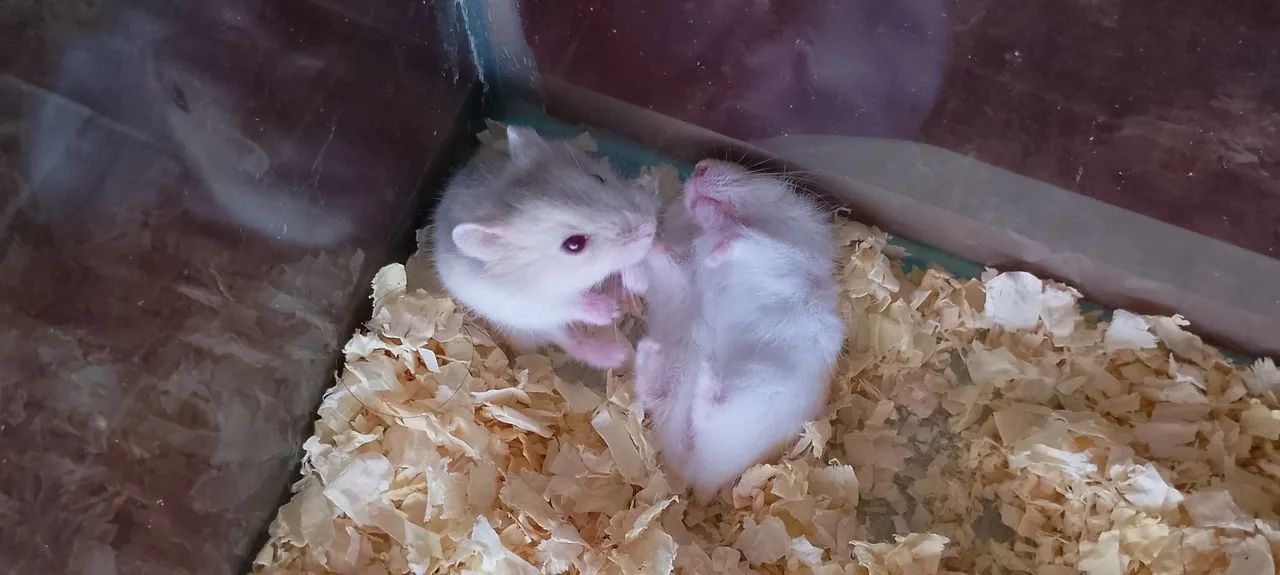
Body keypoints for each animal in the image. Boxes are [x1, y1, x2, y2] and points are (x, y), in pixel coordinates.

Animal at [431, 126, 658, 369]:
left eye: (598, 178)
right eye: (574, 244)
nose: (651, 227)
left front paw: (636, 279)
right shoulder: (535, 303)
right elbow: (571, 303)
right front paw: (611, 311)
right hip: (532, 323)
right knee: (571, 342)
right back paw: (618, 353)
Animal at [635, 159, 844, 503]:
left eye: (750, 170)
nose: (699, 167)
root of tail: (699, 476)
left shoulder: (792, 253)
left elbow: (752, 241)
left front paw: (718, 245)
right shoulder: (682, 275)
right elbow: (671, 262)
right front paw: (649, 240)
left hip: (765, 384)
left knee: (710, 411)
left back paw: (706, 372)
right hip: (683, 377)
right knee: (661, 398)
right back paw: (651, 354)